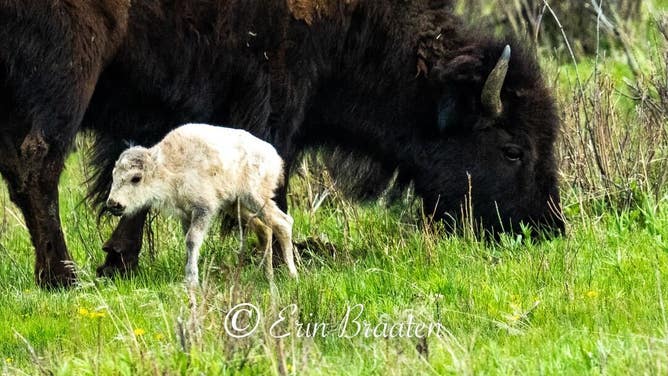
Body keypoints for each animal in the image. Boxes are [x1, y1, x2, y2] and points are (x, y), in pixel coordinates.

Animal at [105, 123, 298, 284]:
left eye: (136, 178)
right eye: (113, 175)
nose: (114, 204)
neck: (169, 166)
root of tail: (275, 158)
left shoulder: (204, 209)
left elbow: (192, 240)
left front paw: (191, 280)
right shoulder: (186, 214)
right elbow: (187, 240)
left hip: (255, 197)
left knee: (283, 222)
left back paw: (292, 274)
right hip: (235, 205)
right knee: (264, 228)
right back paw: (267, 276)